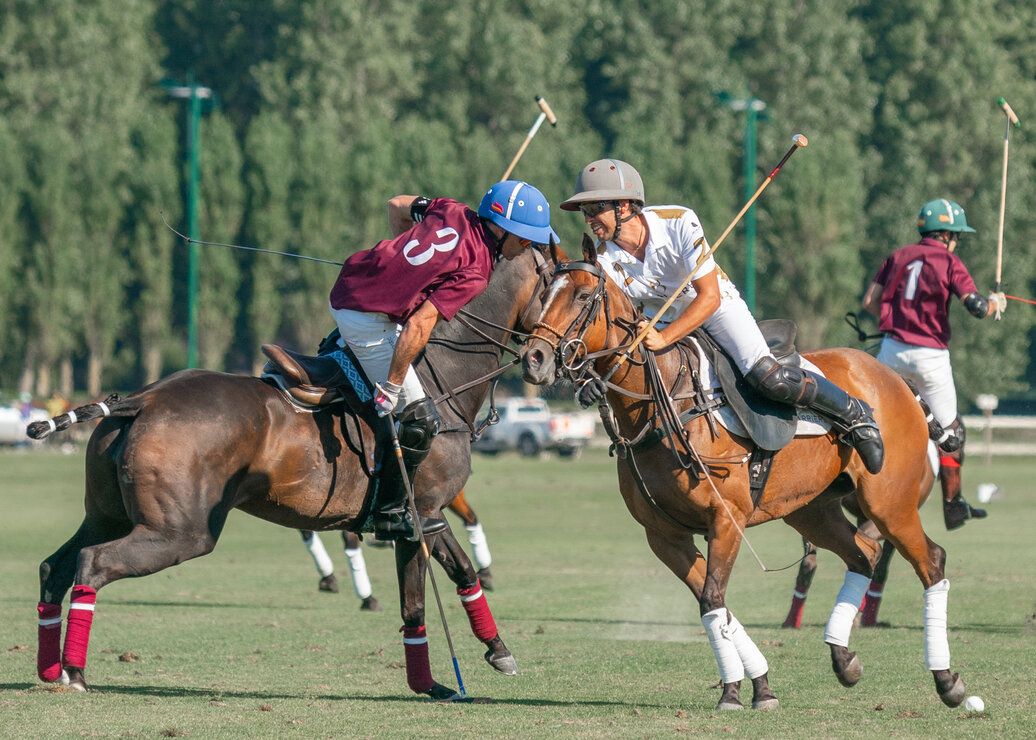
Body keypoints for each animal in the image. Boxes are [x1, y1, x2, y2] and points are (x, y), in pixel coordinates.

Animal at [30, 244, 551, 696]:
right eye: (566, 287)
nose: (546, 360)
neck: (441, 377)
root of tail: (142, 399)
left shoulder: (428, 516)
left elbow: (460, 572)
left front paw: (494, 653)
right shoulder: (417, 513)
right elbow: (417, 602)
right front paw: (433, 682)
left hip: (108, 513)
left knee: (55, 565)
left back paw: (50, 668)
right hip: (180, 532)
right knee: (93, 563)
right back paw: (74, 672)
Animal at [522, 236, 965, 708]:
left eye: (584, 295)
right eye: (545, 292)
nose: (534, 358)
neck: (663, 404)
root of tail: (900, 381)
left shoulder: (726, 519)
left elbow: (712, 597)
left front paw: (738, 691)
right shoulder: (664, 535)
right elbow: (713, 603)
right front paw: (751, 687)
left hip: (889, 502)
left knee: (930, 561)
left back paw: (947, 681)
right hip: (812, 510)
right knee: (865, 554)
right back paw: (844, 659)